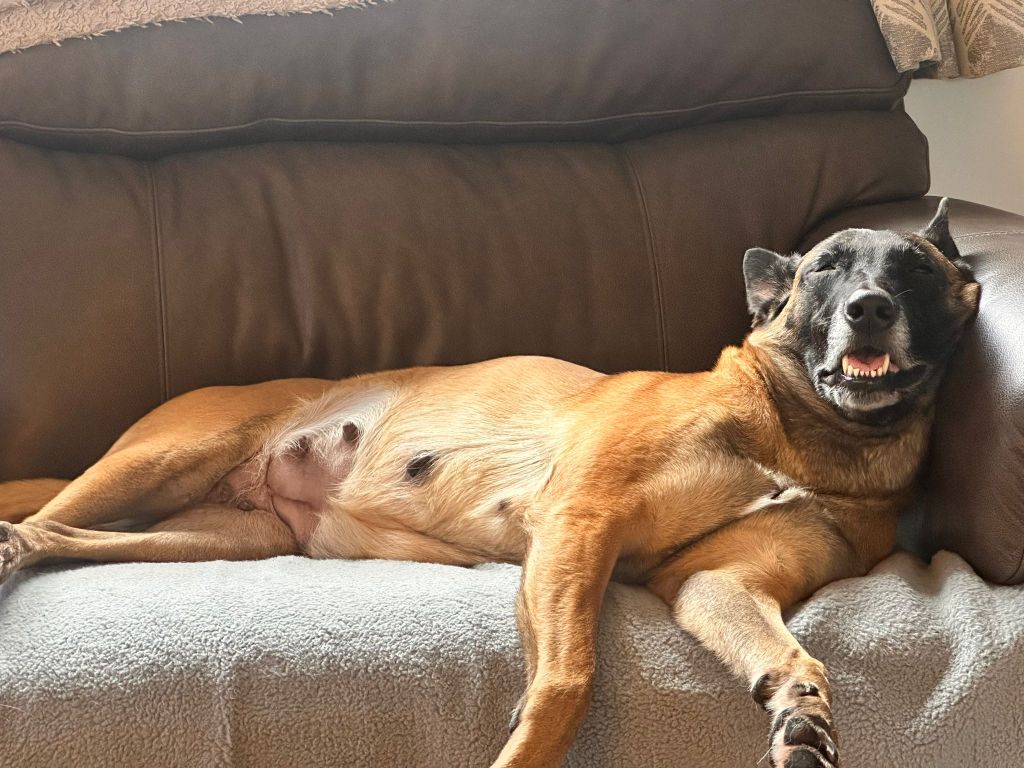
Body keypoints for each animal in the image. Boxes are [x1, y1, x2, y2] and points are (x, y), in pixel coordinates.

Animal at [0, 199, 978, 768]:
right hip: (160, 461)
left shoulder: (716, 581)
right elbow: (568, 676)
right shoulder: (581, 521)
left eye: (914, 270)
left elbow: (785, 652)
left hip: (222, 535)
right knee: (41, 520)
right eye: (825, 269)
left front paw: (801, 711)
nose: (870, 310)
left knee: (54, 535)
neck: (807, 433)